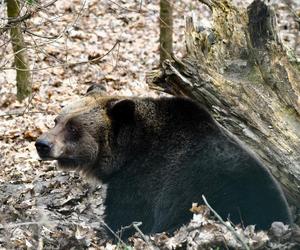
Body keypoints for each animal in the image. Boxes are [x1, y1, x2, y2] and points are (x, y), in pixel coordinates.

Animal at [35, 87, 290, 238]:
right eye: (57, 120)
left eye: (74, 128)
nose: (42, 144)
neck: (129, 152)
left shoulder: (145, 180)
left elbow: (126, 217)